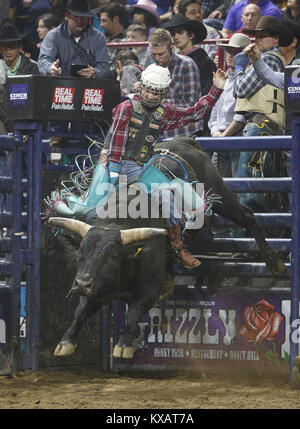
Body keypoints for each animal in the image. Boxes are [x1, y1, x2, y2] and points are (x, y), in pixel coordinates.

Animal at [48, 137, 286, 358]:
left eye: (113, 257)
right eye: (81, 254)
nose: (82, 283)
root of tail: (185, 141)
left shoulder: (148, 289)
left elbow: (133, 313)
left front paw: (124, 344)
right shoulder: (97, 286)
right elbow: (81, 310)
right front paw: (66, 341)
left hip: (220, 193)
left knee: (247, 216)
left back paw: (274, 262)